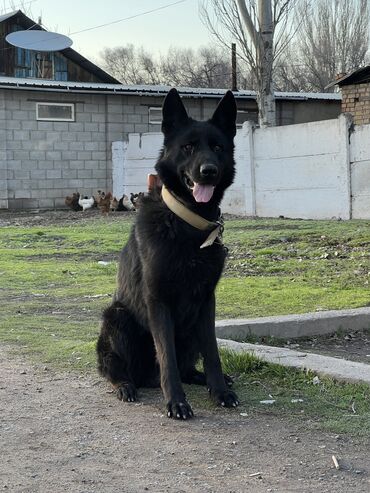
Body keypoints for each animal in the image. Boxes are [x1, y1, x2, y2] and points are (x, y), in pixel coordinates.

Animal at [97, 88, 238, 418]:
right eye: (187, 147)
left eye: (217, 147)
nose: (208, 172)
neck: (187, 224)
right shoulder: (158, 301)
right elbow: (167, 357)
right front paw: (176, 401)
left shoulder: (207, 302)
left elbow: (212, 352)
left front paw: (220, 391)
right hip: (117, 317)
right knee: (115, 369)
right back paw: (125, 386)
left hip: (190, 330)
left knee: (189, 365)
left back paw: (205, 379)